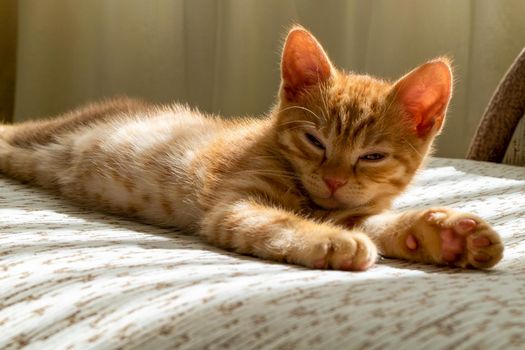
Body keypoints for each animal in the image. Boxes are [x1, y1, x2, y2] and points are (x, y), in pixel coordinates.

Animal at [0, 26, 504, 270]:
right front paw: (331, 241)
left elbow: (376, 221)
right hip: (37, 134)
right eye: (315, 140)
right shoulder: (236, 202)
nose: (333, 180)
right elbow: (278, 222)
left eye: (372, 156)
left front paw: (444, 236)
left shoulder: (349, 206)